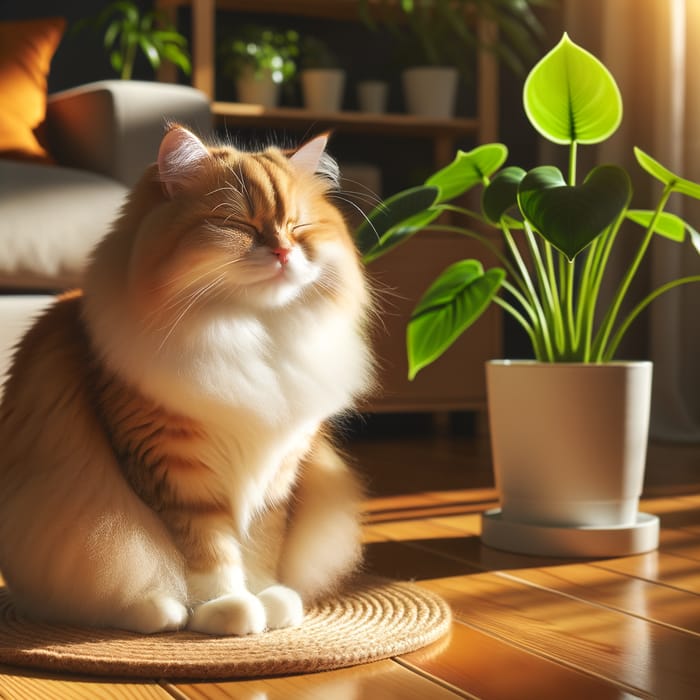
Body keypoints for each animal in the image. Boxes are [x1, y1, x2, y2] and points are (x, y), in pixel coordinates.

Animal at [0, 124, 378, 636]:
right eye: (240, 226)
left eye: (298, 228)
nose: (283, 251)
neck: (250, 333)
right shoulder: (176, 472)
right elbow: (207, 553)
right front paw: (226, 609)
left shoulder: (277, 472)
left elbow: (261, 544)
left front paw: (266, 598)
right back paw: (161, 611)